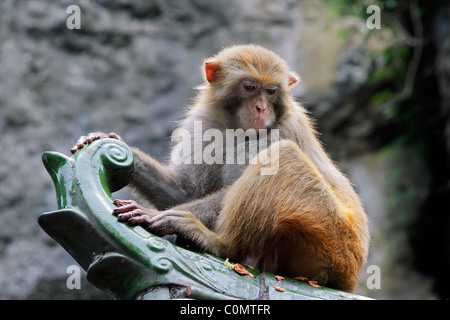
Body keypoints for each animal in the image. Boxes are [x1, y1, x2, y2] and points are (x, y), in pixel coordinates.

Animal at [72, 45, 370, 292]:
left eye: (271, 91)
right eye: (250, 87)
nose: (261, 108)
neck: (236, 126)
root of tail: (349, 278)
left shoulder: (280, 130)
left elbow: (230, 189)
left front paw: (150, 214)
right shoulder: (204, 123)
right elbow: (185, 191)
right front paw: (113, 143)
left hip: (332, 240)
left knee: (283, 158)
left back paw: (219, 244)